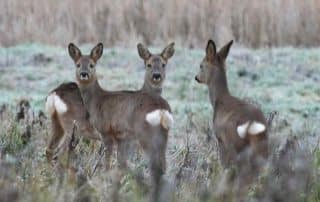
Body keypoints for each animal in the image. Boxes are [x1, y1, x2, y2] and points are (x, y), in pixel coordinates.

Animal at [67, 42, 172, 202]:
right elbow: (121, 164)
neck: (97, 101)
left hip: (145, 133)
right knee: (163, 164)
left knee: (156, 166)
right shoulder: (123, 137)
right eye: (78, 64)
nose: (84, 74)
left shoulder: (106, 132)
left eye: (91, 65)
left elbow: (108, 163)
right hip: (163, 134)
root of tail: (162, 109)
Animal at [195, 39, 268, 177]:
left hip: (236, 142)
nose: (196, 77)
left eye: (201, 65)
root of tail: (254, 123)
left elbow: (224, 164)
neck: (219, 100)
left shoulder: (220, 138)